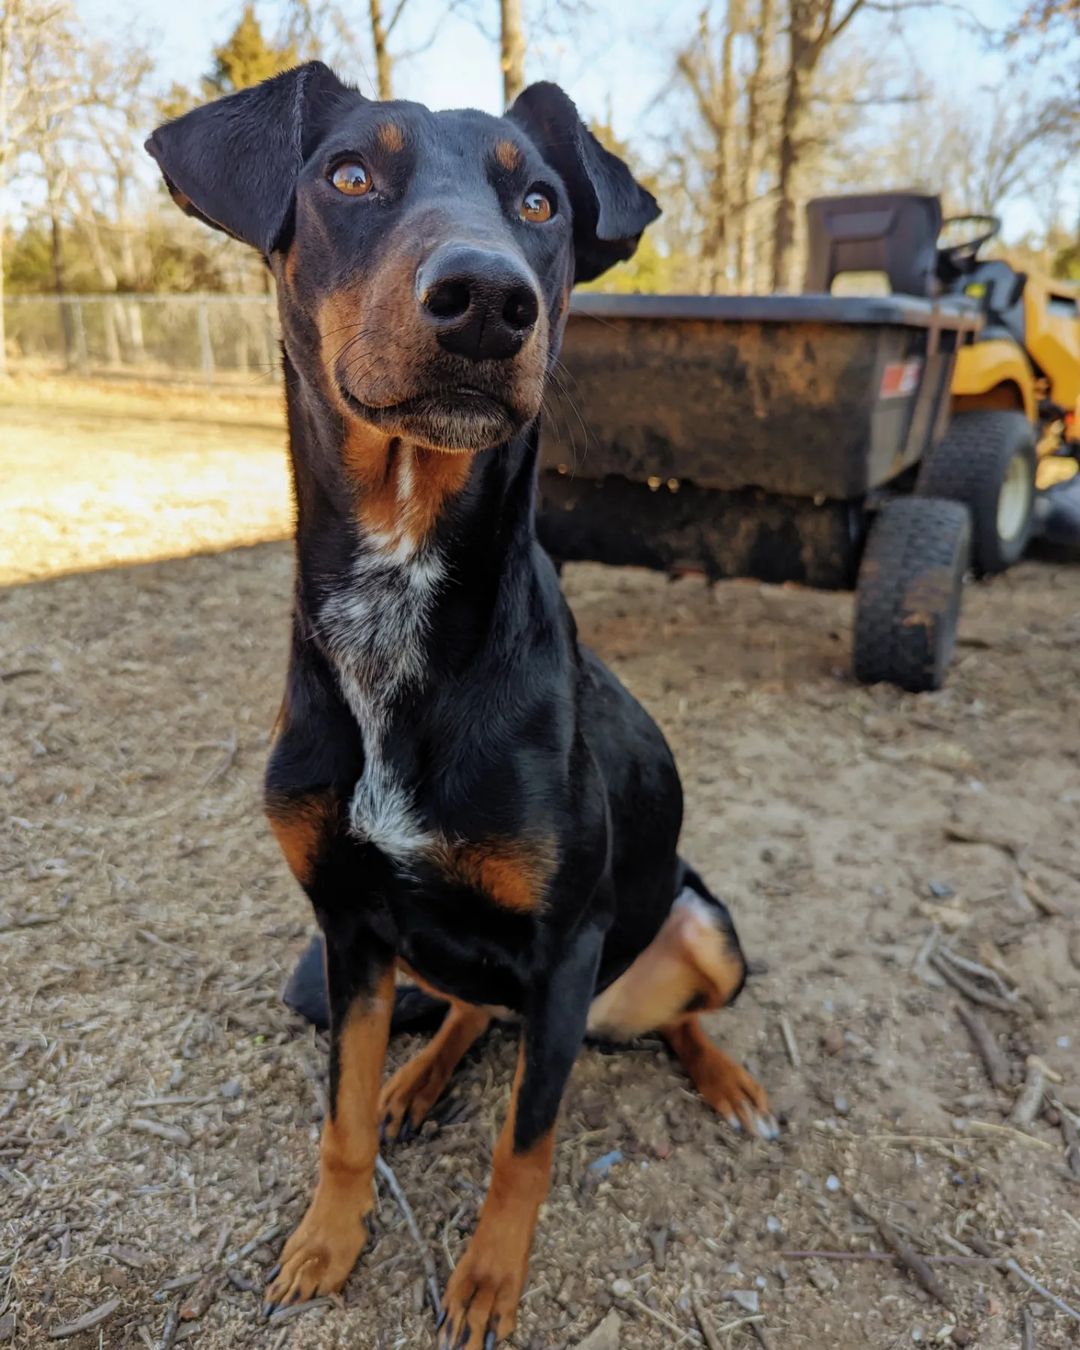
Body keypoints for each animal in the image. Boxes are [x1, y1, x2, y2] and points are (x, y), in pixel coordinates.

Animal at [147, 65, 772, 1350]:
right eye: (347, 176)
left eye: (539, 202)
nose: (488, 299)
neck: (402, 599)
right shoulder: (348, 926)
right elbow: (338, 1119)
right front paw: (327, 1241)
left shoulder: (569, 941)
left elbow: (525, 1146)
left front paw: (488, 1280)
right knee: (475, 1014)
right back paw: (418, 1077)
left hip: (694, 930)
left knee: (668, 1015)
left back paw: (726, 1081)